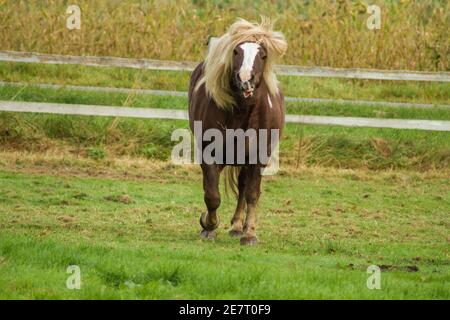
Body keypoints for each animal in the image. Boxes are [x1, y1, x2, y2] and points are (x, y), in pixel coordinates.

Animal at [187, 18, 286, 245]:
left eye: (263, 55)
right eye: (236, 52)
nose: (245, 79)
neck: (242, 111)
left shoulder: (258, 157)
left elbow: (252, 193)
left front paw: (249, 234)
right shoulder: (209, 154)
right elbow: (212, 194)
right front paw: (208, 225)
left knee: (243, 187)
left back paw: (238, 227)